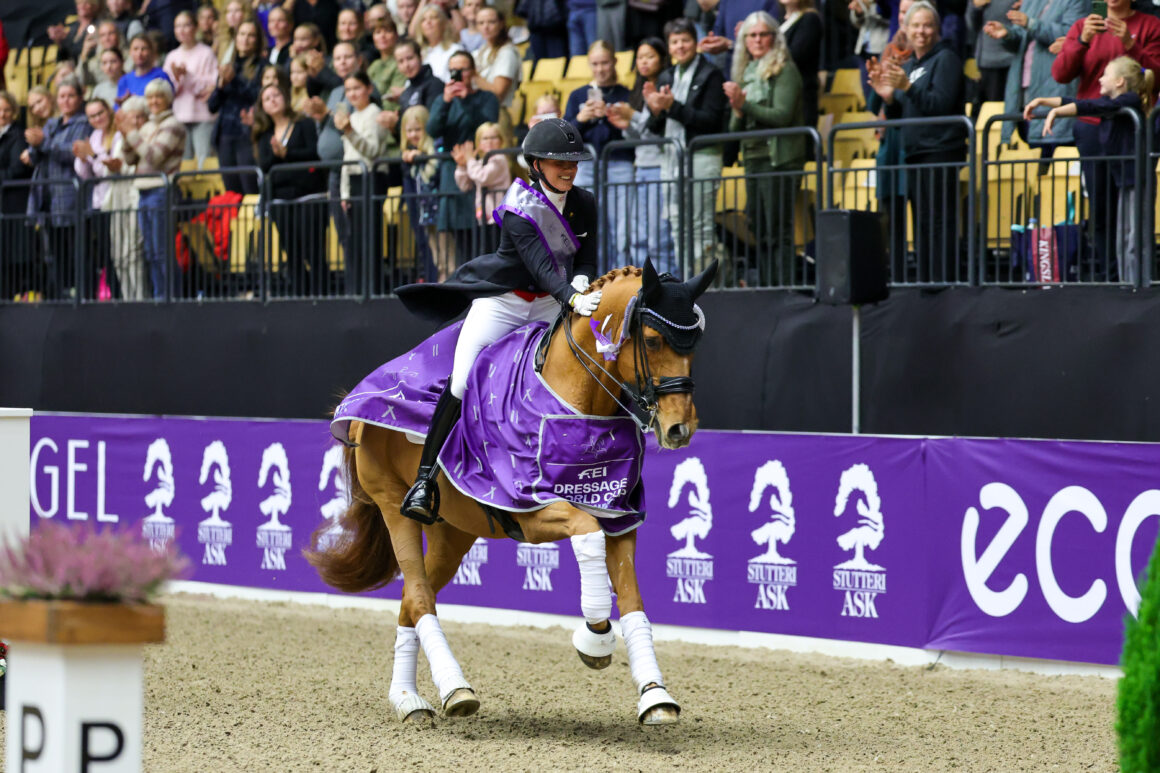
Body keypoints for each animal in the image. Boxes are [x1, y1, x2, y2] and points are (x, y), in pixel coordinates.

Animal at [303, 258, 709, 724]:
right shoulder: (535, 512)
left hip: (454, 531)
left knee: (409, 600)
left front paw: (655, 696)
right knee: (420, 598)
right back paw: (454, 690)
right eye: (654, 340)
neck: (573, 399)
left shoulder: (619, 518)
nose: (679, 429)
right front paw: (594, 638)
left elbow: (632, 600)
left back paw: (408, 700)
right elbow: (586, 535)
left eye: (695, 342)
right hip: (394, 505)